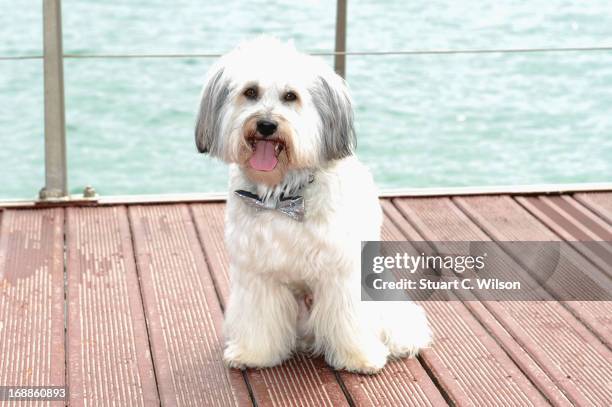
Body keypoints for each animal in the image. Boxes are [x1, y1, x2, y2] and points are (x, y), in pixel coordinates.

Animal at [195, 36, 430, 374]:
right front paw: (254, 354)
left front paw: (358, 357)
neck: (284, 197)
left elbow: (348, 319)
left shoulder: (341, 274)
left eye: (290, 96)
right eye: (250, 92)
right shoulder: (258, 275)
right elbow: (259, 320)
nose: (266, 125)